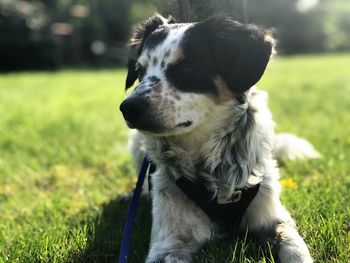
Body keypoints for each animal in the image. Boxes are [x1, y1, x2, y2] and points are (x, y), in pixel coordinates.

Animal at [119, 14, 316, 263]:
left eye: (188, 68)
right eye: (139, 71)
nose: (128, 108)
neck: (213, 173)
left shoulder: (273, 218)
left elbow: (296, 249)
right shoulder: (167, 245)